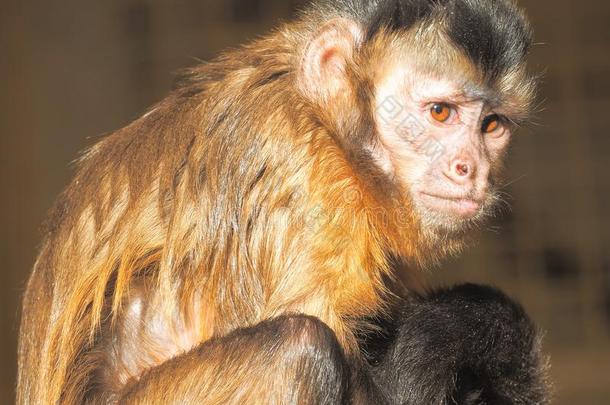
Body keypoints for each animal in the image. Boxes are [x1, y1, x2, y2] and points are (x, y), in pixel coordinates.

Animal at [17, 0, 548, 402]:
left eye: (492, 126)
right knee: (300, 348)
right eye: (440, 112)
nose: (471, 168)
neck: (327, 129)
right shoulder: (299, 175)